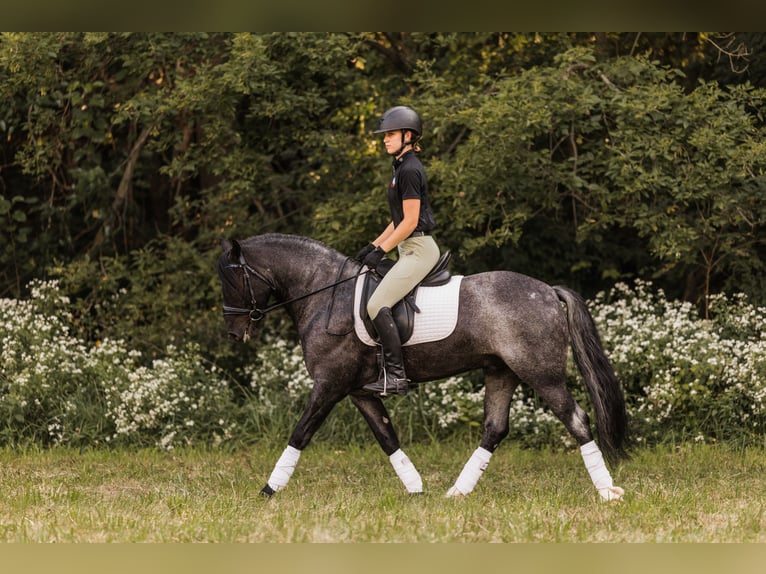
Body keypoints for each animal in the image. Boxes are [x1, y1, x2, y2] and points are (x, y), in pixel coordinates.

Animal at [217, 233, 628, 500]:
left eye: (232, 278)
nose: (234, 333)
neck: (325, 294)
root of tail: (547, 290)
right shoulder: (358, 391)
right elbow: (387, 437)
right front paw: (416, 489)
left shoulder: (329, 384)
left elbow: (300, 433)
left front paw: (268, 490)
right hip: (501, 372)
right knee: (495, 429)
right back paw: (456, 492)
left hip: (541, 374)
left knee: (576, 419)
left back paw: (607, 491)